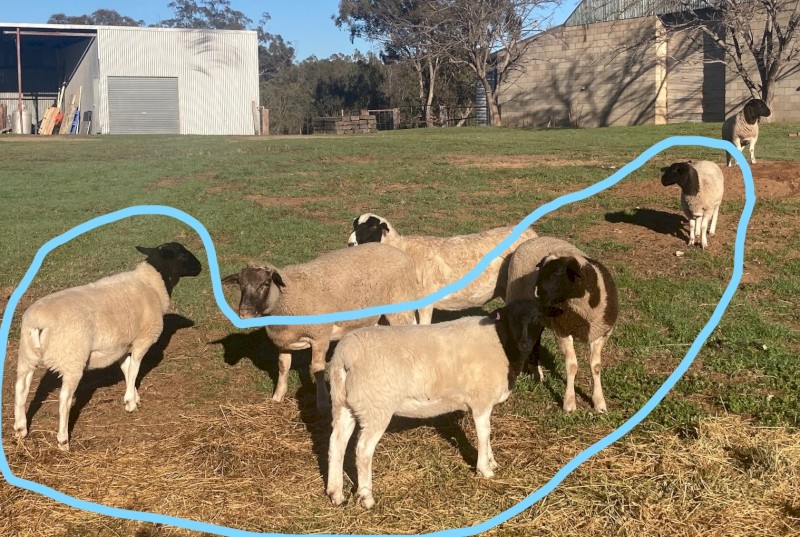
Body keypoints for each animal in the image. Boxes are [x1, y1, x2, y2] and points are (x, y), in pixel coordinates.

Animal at [13, 242, 203, 451]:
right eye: (183, 254)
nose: (200, 267)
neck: (152, 284)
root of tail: (39, 323)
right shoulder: (142, 340)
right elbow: (135, 369)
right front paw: (130, 403)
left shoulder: (121, 346)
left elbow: (127, 369)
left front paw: (133, 396)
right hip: (73, 359)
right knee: (64, 400)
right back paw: (63, 440)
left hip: (27, 355)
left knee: (21, 388)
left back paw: (20, 429)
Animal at [222, 243, 420, 412]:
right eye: (240, 285)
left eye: (265, 284)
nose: (244, 312)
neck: (287, 295)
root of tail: (403, 255)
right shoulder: (284, 340)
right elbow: (283, 366)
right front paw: (277, 396)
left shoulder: (320, 337)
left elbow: (317, 369)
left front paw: (323, 403)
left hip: (400, 303)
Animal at [325, 300, 545, 509]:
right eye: (511, 318)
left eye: (538, 319)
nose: (525, 343)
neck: (501, 342)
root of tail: (345, 355)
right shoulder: (480, 400)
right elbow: (484, 434)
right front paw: (486, 470)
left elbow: (487, 435)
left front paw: (492, 461)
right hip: (376, 406)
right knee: (362, 451)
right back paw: (366, 498)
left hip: (343, 403)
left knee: (336, 443)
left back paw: (336, 494)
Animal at [347, 213, 538, 324]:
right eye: (355, 225)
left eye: (372, 226)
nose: (350, 244)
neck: (402, 248)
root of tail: (531, 233)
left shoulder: (425, 301)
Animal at [505, 236, 618, 413]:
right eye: (541, 271)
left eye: (557, 273)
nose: (536, 294)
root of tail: (534, 239)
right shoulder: (562, 331)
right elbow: (571, 366)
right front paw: (569, 404)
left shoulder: (602, 333)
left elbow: (596, 366)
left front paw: (599, 402)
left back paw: (537, 373)